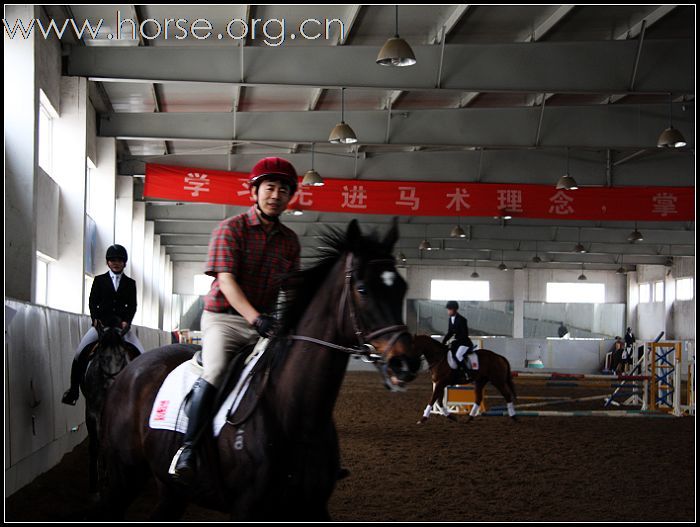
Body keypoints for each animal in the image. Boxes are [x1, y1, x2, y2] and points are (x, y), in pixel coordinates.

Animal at [95, 220, 418, 524]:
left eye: (402, 288)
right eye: (362, 290)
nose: (405, 363)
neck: (294, 413)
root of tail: (129, 372)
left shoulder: (313, 507)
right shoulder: (248, 508)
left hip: (171, 489)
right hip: (125, 475)